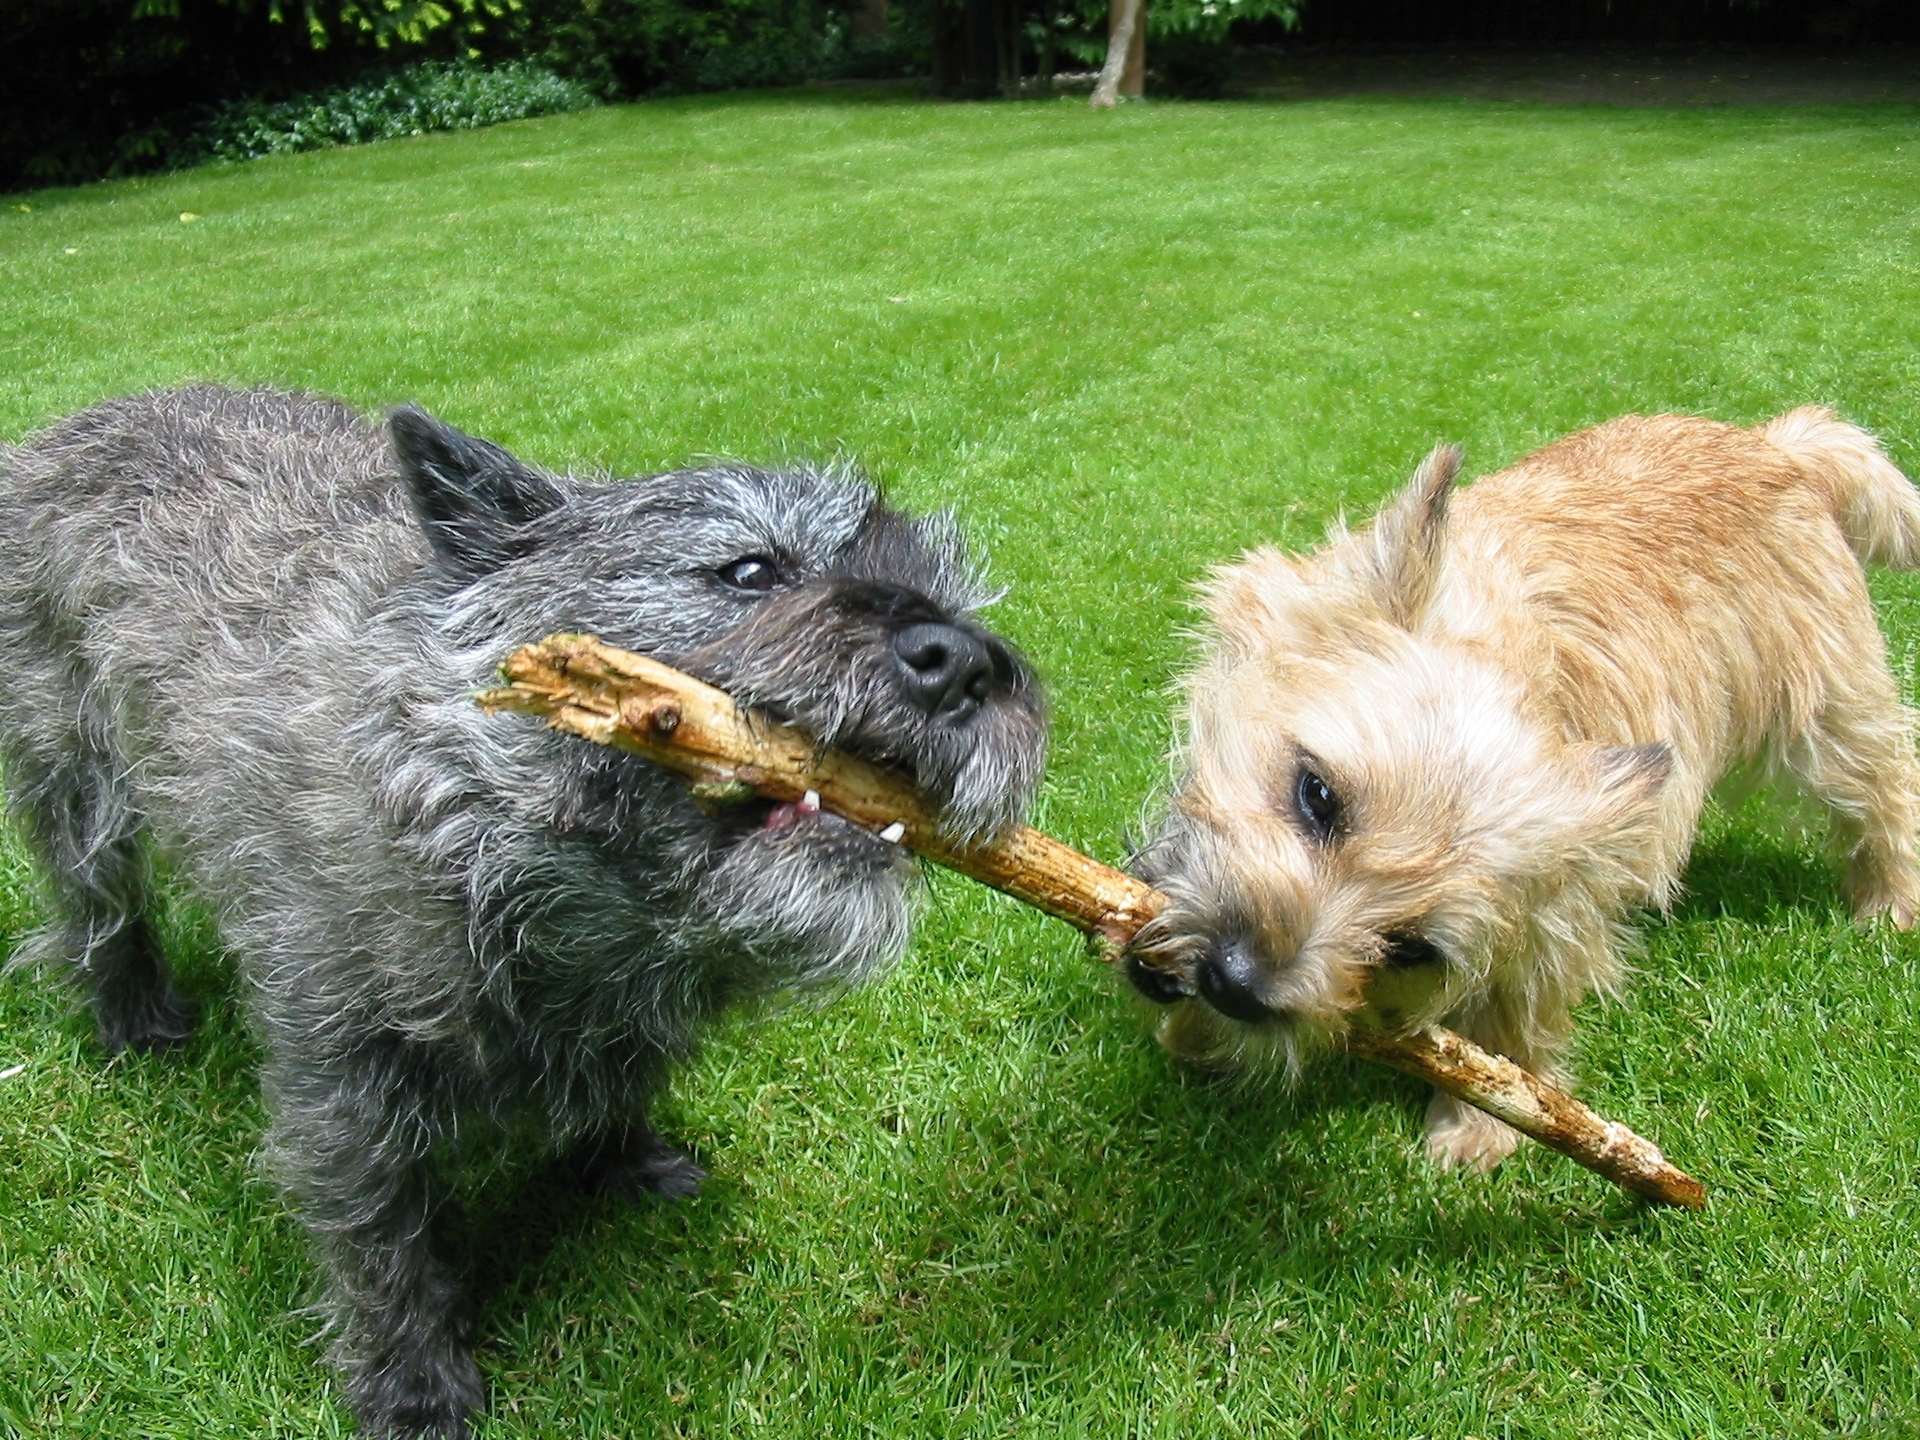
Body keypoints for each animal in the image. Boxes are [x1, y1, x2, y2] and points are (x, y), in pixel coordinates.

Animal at [0, 385, 1044, 1440]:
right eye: (750, 568)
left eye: (959, 598)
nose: (962, 663)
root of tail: (98, 413)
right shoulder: (340, 1081)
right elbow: (382, 1243)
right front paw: (411, 1386)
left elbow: (619, 1085)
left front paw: (622, 1162)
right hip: (74, 778)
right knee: (99, 907)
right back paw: (132, 1017)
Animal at [1121, 408, 1920, 1175]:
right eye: (1318, 795)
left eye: (1409, 950)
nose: (1235, 983)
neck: (1526, 656)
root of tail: (1776, 444)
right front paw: (1195, 1033)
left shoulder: (1563, 912)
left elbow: (1517, 1017)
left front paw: (1481, 1127)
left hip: (1830, 715)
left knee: (1889, 786)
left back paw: (1891, 905)